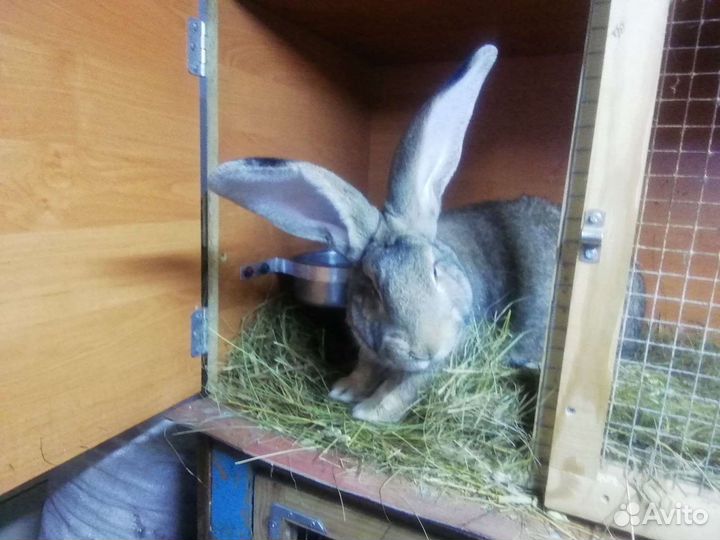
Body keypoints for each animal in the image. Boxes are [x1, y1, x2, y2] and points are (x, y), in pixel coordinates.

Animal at [209, 44, 644, 423]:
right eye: (372, 287)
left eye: (435, 270)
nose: (426, 347)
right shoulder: (371, 351)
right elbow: (368, 370)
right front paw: (346, 390)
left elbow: (404, 388)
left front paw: (371, 412)